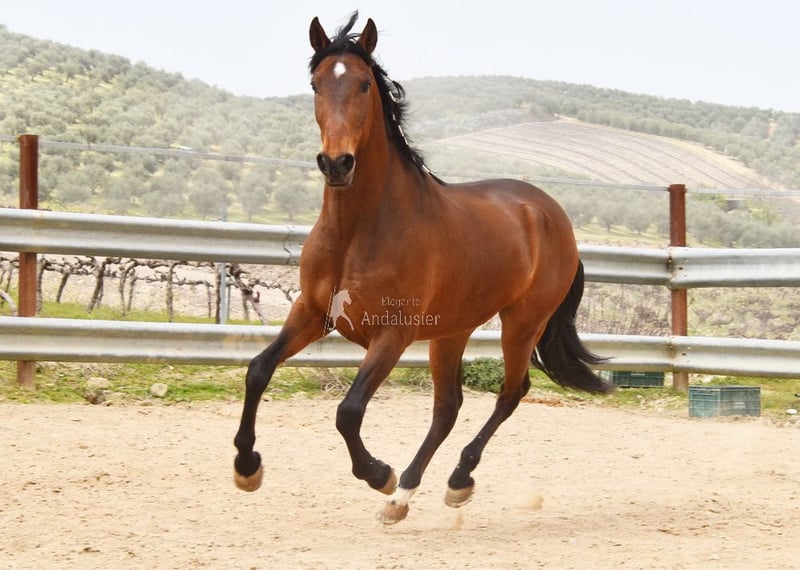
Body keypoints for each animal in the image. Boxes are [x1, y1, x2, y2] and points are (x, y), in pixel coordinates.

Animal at [233, 12, 611, 525]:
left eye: (364, 85)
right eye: (315, 83)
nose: (337, 163)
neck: (357, 231)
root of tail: (550, 213)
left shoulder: (392, 334)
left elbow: (348, 411)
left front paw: (378, 474)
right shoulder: (312, 314)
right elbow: (258, 370)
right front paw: (247, 468)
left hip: (521, 323)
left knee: (511, 392)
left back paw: (450, 482)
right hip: (452, 332)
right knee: (448, 408)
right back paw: (404, 497)